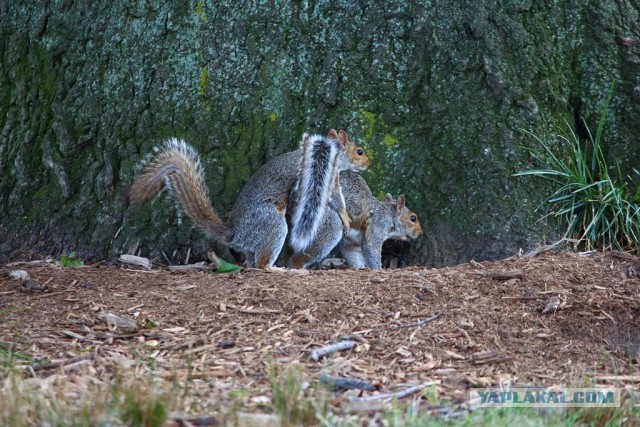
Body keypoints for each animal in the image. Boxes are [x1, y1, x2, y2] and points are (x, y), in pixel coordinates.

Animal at [127, 130, 368, 270]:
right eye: (359, 151)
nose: (369, 164)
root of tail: (235, 233)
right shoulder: (326, 176)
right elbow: (334, 197)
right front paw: (345, 216)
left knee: (252, 262)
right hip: (271, 224)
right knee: (261, 265)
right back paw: (274, 268)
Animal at [288, 169, 422, 270]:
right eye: (413, 218)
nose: (420, 233)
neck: (388, 214)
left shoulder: (352, 242)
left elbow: (354, 254)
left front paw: (360, 268)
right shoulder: (377, 225)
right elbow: (371, 247)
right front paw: (378, 269)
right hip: (328, 222)